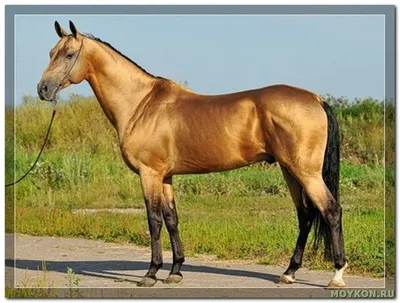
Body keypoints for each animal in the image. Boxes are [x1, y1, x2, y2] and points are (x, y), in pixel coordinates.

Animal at [36, 20, 346, 288]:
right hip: (289, 170)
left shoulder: (149, 174)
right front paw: (175, 271)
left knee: (330, 210)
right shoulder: (165, 176)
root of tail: (316, 99)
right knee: (305, 215)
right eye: (51, 53)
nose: (43, 89)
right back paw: (289, 272)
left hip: (305, 172)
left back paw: (337, 274)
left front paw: (151, 273)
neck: (141, 104)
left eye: (69, 54)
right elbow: (172, 219)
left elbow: (154, 220)